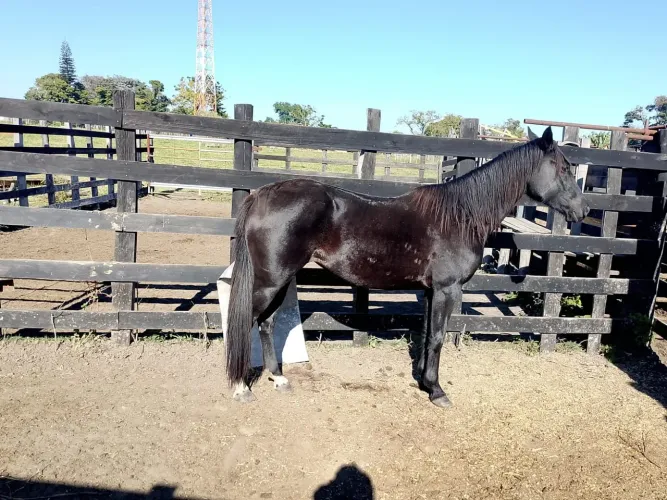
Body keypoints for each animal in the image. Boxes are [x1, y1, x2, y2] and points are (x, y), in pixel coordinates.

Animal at [224, 126, 590, 408]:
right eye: (562, 168)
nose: (583, 210)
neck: (460, 217)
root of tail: (262, 194)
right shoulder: (446, 289)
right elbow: (438, 337)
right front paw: (438, 392)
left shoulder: (429, 292)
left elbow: (427, 334)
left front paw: (425, 382)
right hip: (270, 280)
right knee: (246, 320)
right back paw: (240, 387)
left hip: (281, 277)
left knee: (268, 323)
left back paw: (279, 378)